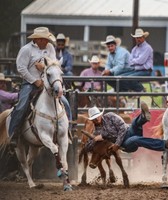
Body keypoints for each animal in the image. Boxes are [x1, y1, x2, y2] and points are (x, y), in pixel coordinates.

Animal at [0, 56, 72, 191]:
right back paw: (31, 184)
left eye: (61, 73)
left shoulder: (63, 137)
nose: (58, 91)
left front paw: (67, 184)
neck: (52, 109)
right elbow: (55, 149)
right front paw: (60, 173)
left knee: (29, 161)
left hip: (34, 146)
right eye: (48, 74)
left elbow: (65, 160)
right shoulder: (44, 136)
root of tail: (10, 112)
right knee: (24, 163)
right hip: (19, 146)